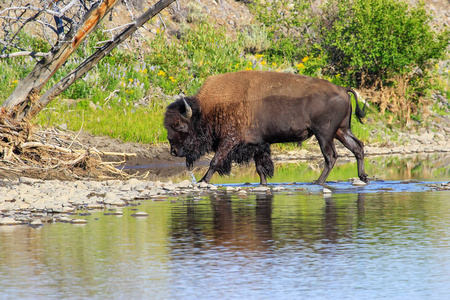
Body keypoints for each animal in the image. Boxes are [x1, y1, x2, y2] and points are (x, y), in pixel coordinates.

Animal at [163, 71, 368, 186]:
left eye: (180, 126)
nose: (173, 151)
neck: (210, 108)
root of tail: (342, 89)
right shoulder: (258, 144)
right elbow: (260, 167)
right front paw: (263, 184)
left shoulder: (229, 140)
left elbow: (215, 161)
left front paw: (203, 180)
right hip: (341, 131)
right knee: (357, 147)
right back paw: (363, 177)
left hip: (324, 134)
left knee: (330, 156)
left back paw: (318, 181)